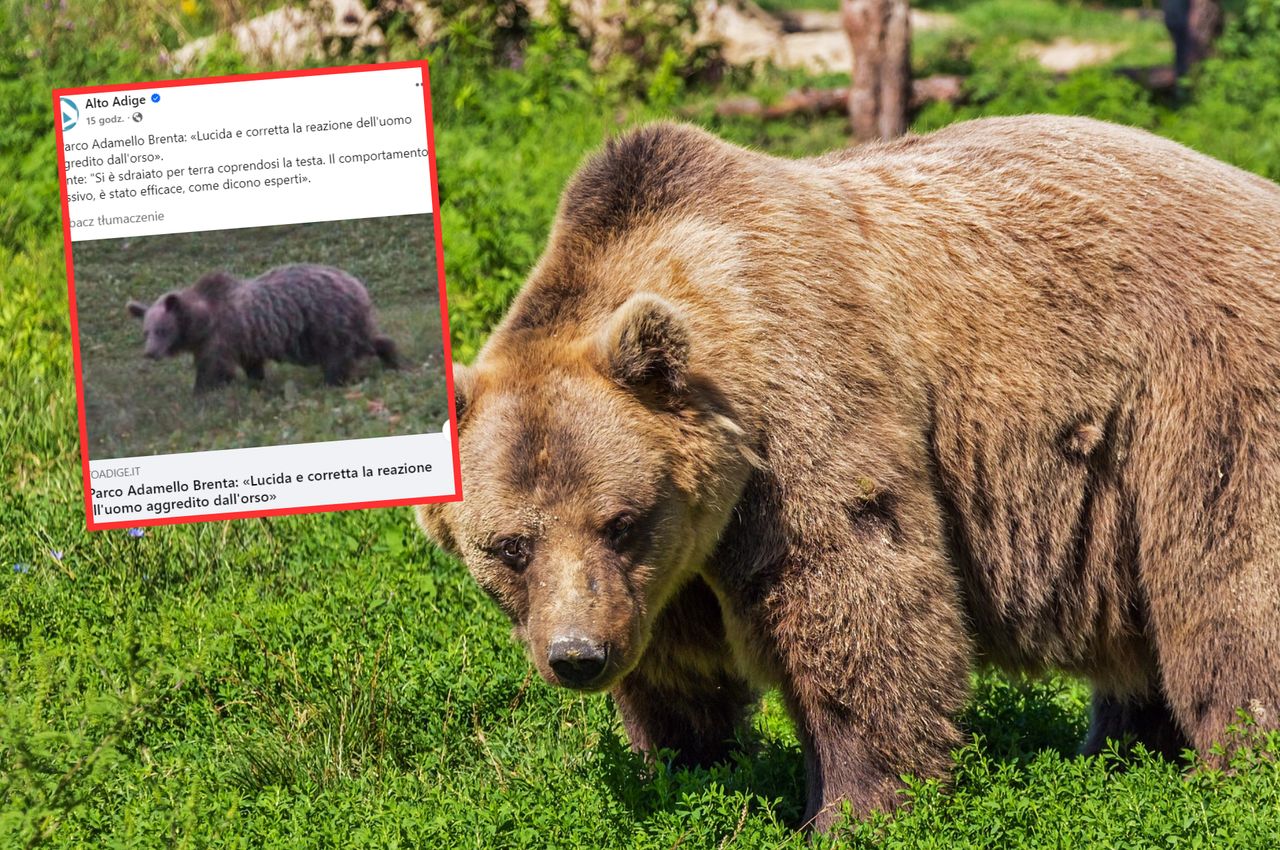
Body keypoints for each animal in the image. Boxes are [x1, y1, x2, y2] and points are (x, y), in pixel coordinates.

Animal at [125, 263, 396, 394]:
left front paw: (201, 394)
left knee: (338, 356)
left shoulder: (222, 336)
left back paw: (332, 382)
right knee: (368, 341)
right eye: (146, 332)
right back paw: (394, 360)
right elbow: (251, 366)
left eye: (162, 330)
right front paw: (256, 384)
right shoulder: (243, 341)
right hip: (344, 323)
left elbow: (214, 369)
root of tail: (356, 284)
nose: (150, 352)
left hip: (325, 321)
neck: (201, 324)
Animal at [417, 116, 1280, 824]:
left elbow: (856, 597)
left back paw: (1233, 771)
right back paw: (1119, 753)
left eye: (620, 521)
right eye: (509, 547)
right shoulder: (672, 570)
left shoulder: (807, 405)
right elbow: (678, 667)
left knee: (1227, 591)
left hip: (1201, 397)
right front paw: (683, 766)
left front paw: (853, 807)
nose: (577, 656)